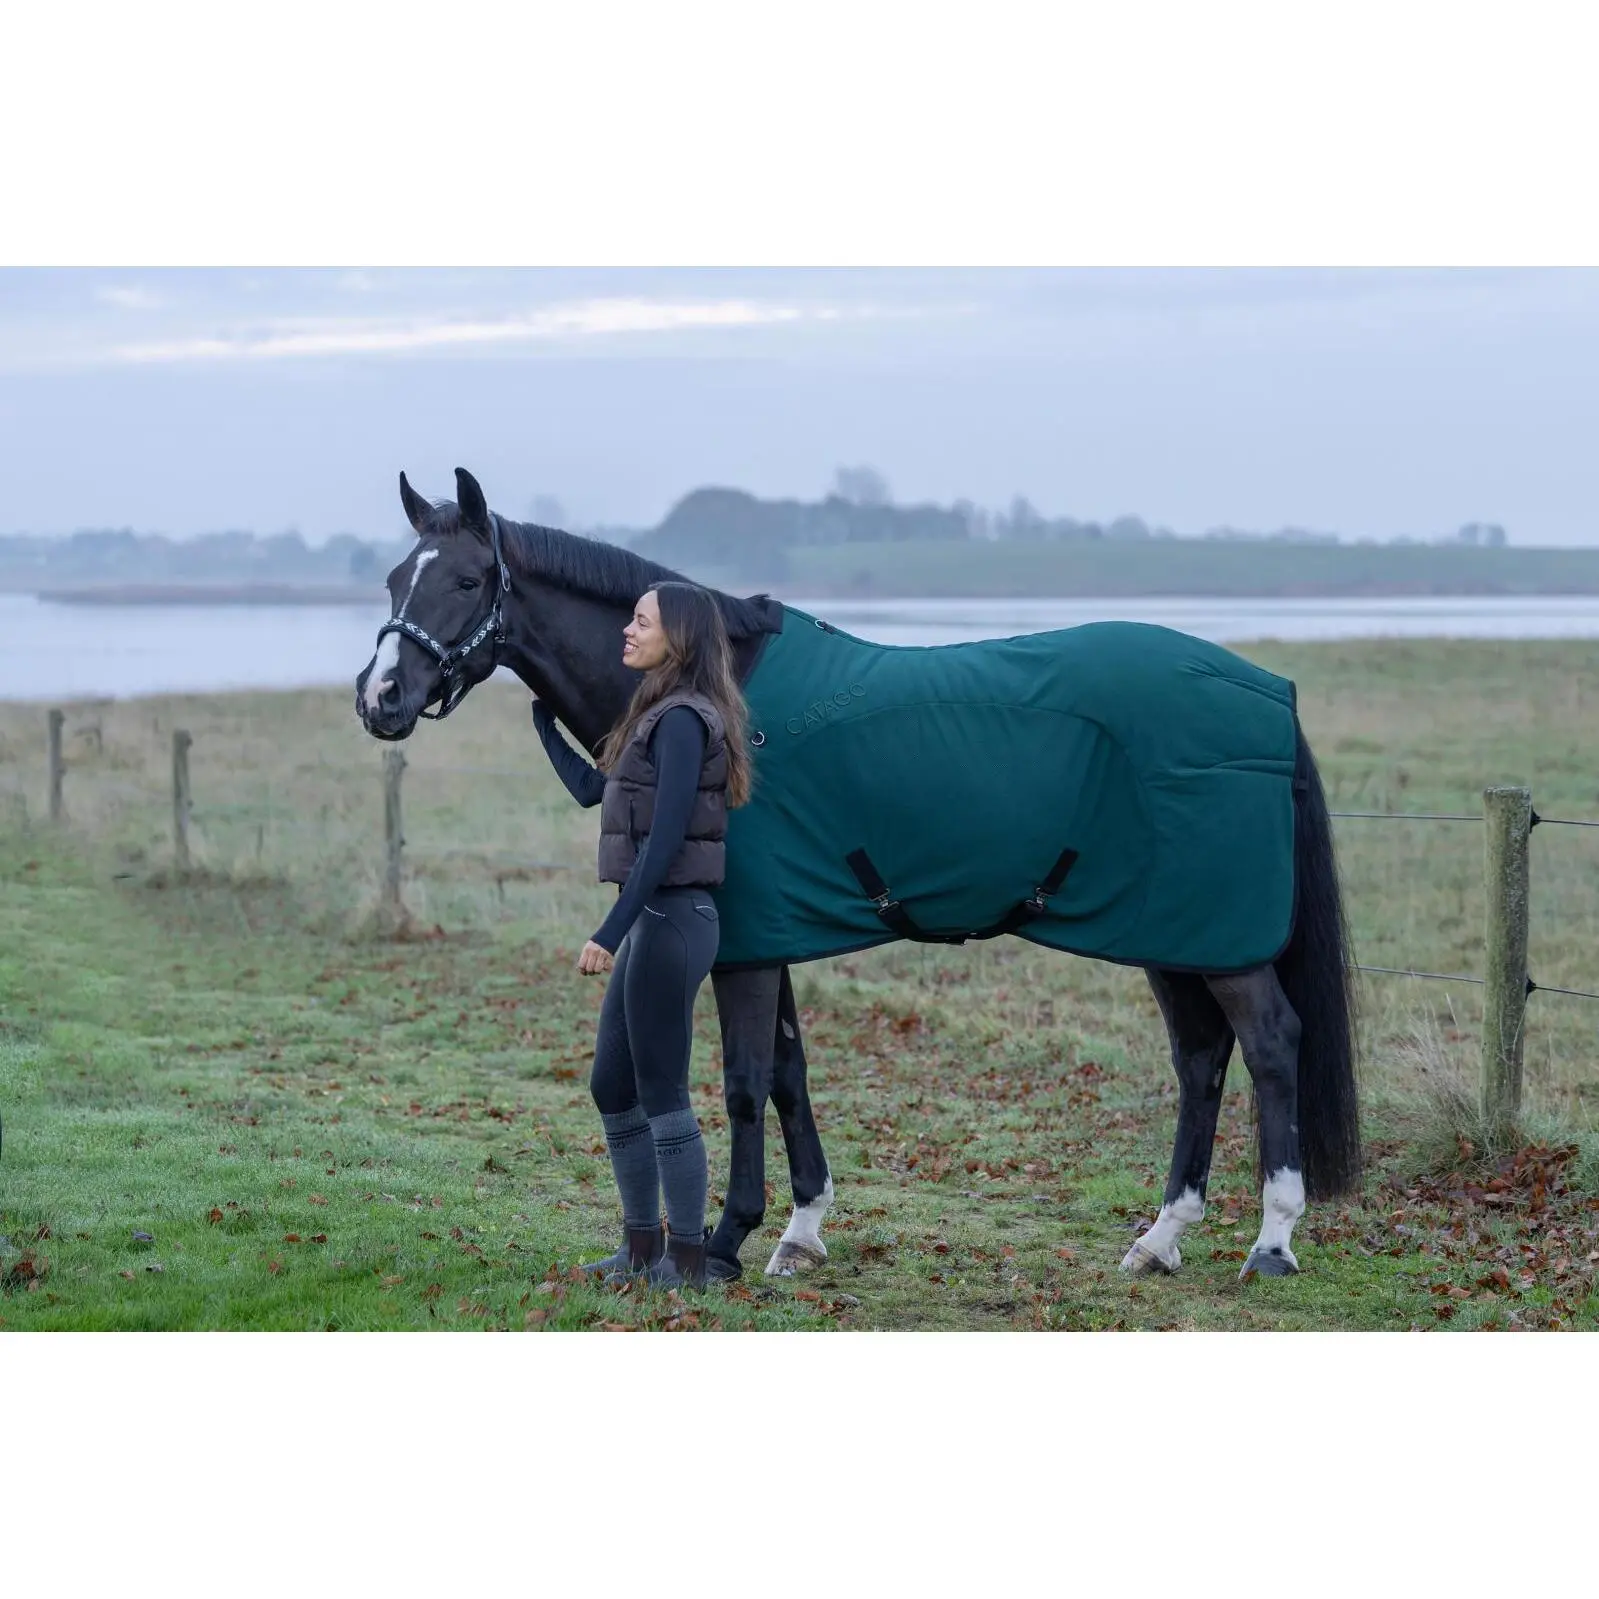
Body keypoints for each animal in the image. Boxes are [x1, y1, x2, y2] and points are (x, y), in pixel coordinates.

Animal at [354, 468, 1361, 1285]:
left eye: (467, 579)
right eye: (395, 578)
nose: (379, 697)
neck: (722, 690)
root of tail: (1265, 691)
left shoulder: (745, 947)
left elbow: (743, 1080)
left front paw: (724, 1241)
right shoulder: (769, 935)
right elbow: (789, 1072)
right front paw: (800, 1231)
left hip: (1217, 936)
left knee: (1270, 1043)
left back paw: (1271, 1242)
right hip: (1172, 930)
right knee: (1200, 1057)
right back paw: (1159, 1238)